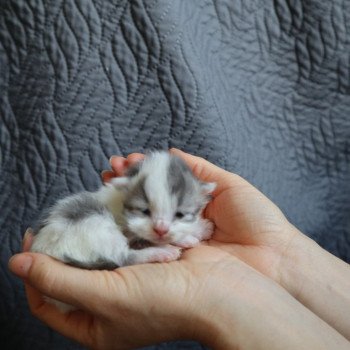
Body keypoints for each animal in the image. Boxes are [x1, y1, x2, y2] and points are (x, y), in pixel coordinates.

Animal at [30, 152, 216, 272]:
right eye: (145, 211)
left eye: (179, 214)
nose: (161, 229)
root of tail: (43, 248)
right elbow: (145, 238)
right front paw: (188, 238)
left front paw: (199, 229)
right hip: (95, 224)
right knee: (123, 258)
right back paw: (161, 252)